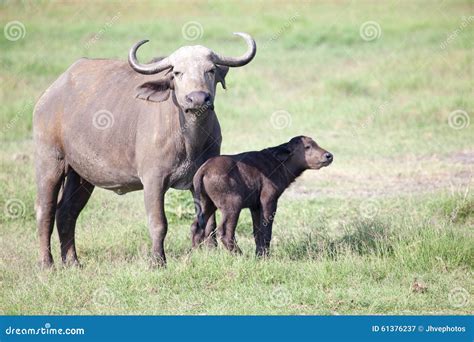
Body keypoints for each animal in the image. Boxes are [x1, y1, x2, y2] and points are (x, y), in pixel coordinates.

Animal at [32, 32, 256, 268]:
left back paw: (73, 262)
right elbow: (158, 223)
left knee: (67, 212)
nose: (197, 98)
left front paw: (210, 253)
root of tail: (49, 95)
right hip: (49, 163)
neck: (189, 139)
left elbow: (208, 220)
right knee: (45, 211)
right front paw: (158, 261)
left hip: (81, 175)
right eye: (177, 73)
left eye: (210, 70)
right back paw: (47, 264)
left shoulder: (201, 181)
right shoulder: (153, 180)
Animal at [190, 135, 334, 255]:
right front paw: (265, 255)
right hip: (233, 205)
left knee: (196, 227)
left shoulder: (255, 206)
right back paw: (240, 255)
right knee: (225, 232)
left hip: (206, 204)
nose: (329, 156)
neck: (278, 163)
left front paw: (259, 254)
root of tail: (204, 169)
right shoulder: (268, 201)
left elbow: (257, 231)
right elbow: (266, 231)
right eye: (308, 146)